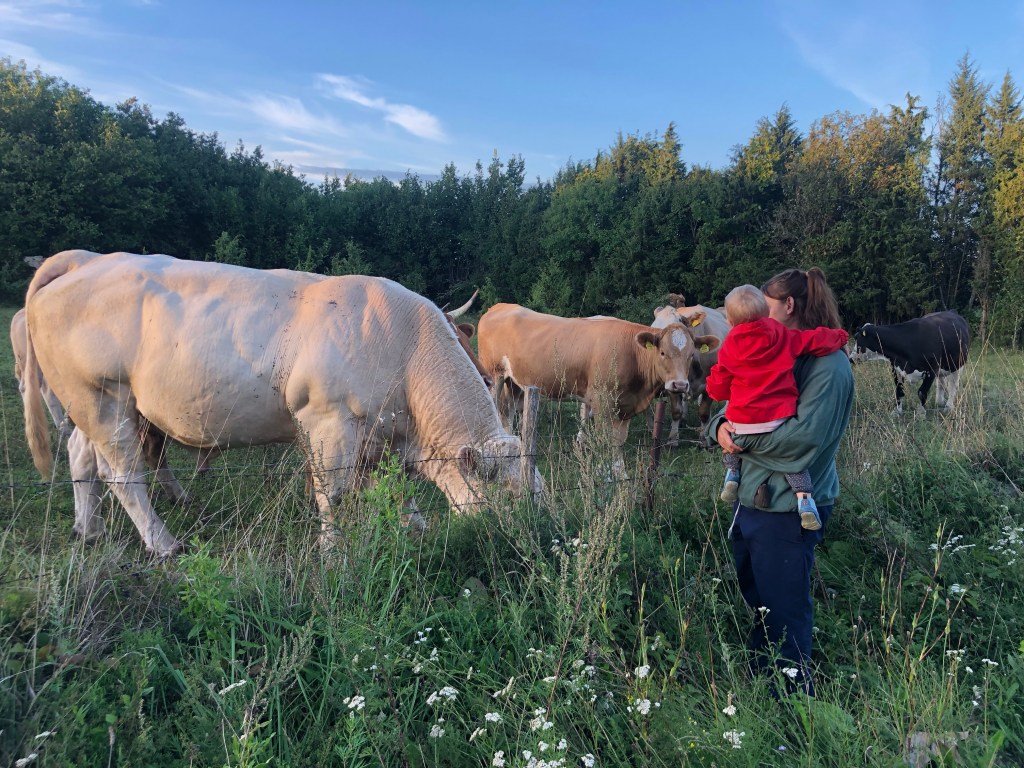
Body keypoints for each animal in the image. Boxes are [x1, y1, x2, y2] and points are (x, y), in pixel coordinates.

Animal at [22, 250, 543, 558]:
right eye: (510, 498)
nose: (535, 541)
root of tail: (86, 262)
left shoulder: (377, 438)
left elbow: (394, 491)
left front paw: (414, 527)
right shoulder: (328, 423)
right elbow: (332, 495)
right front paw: (333, 552)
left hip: (95, 403)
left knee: (82, 459)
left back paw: (88, 529)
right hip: (102, 398)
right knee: (122, 475)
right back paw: (164, 543)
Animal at [476, 303, 721, 478]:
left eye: (690, 354)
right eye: (662, 353)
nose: (679, 385)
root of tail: (500, 306)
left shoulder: (625, 404)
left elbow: (619, 440)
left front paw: (620, 472)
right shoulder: (602, 401)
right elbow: (606, 439)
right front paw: (606, 471)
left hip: (515, 381)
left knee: (507, 412)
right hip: (495, 374)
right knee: (496, 408)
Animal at [651, 299, 731, 447]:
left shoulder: (710, 385)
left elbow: (703, 412)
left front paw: (704, 439)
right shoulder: (673, 383)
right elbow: (676, 411)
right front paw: (673, 439)